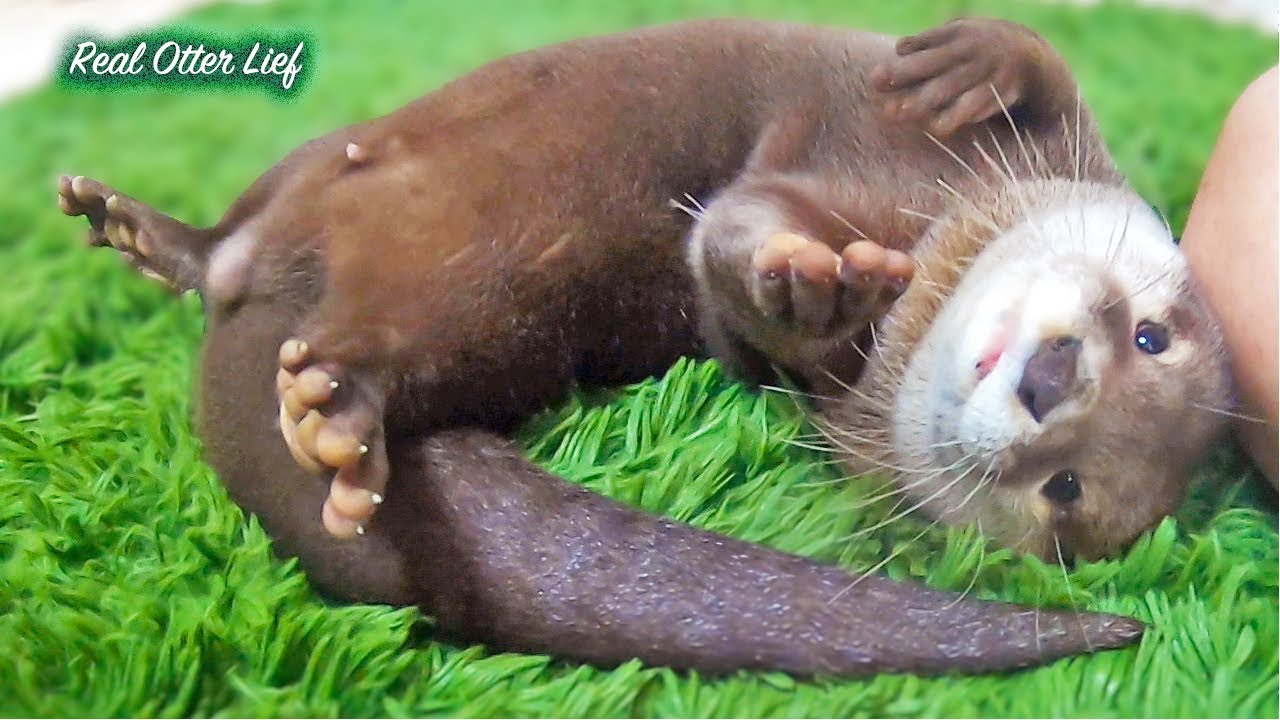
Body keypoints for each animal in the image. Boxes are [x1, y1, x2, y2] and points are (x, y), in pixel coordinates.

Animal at [58, 17, 1231, 676]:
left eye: (1064, 496)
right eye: (1151, 336)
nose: (1050, 380)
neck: (934, 228)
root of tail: (259, 300)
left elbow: (723, 272)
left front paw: (810, 291)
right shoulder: (1047, 146)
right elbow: (1043, 69)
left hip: (495, 306)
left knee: (384, 353)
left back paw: (340, 415)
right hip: (309, 164)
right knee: (232, 229)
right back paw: (139, 228)